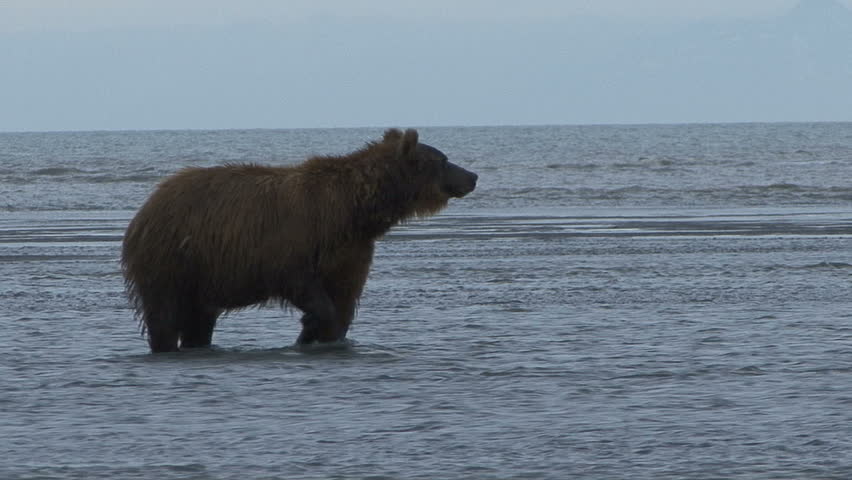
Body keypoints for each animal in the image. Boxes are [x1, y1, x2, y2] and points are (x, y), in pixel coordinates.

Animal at [121, 129, 477, 353]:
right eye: (444, 160)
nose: (472, 176)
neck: (354, 212)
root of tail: (147, 206)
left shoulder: (351, 252)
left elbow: (343, 302)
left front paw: (317, 335)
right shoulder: (294, 243)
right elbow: (311, 293)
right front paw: (311, 330)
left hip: (202, 276)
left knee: (199, 320)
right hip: (173, 260)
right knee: (164, 315)